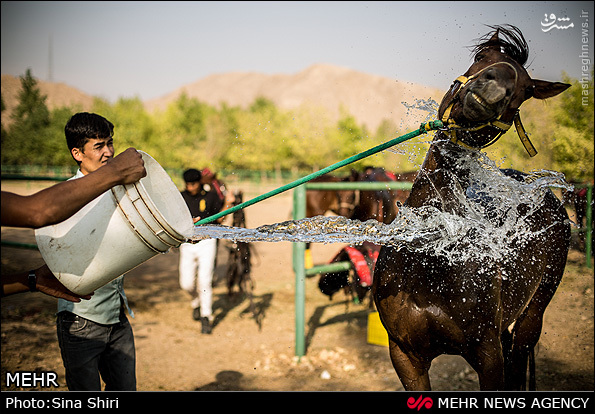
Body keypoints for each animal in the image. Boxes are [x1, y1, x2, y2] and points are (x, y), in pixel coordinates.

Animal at [372, 24, 572, 390]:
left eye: (526, 91)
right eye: (481, 57)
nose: (494, 86)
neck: (430, 260)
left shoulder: (488, 356)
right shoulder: (404, 355)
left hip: (532, 316)